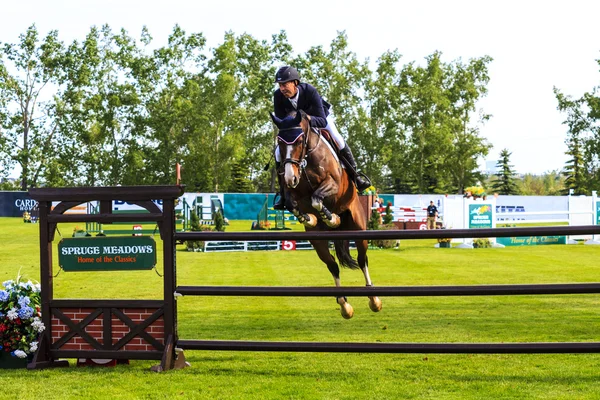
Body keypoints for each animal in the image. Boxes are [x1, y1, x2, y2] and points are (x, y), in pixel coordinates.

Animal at [270, 109, 382, 318]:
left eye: (299, 141)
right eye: (280, 142)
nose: (290, 177)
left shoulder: (333, 183)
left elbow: (317, 197)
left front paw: (332, 218)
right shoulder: (292, 191)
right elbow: (292, 203)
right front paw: (311, 218)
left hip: (358, 228)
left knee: (362, 260)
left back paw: (374, 299)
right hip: (318, 242)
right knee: (332, 265)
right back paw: (344, 305)